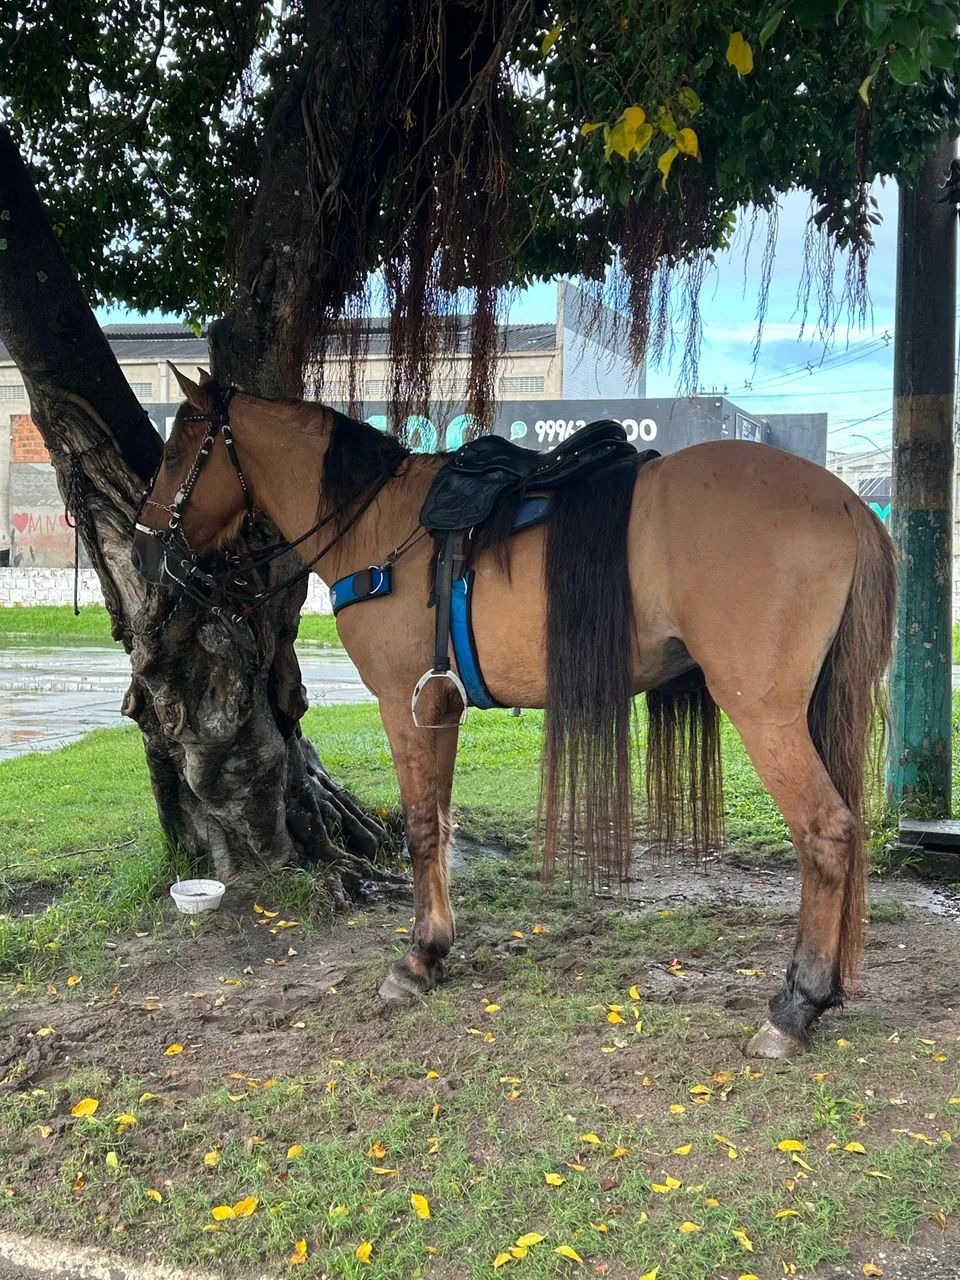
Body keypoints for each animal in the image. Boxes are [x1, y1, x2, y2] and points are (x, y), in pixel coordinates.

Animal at [132, 368, 897, 1059]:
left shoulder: (403, 704)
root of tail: (843, 501)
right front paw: (438, 946)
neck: (381, 524)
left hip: (765, 714)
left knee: (826, 833)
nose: (142, 546)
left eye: (174, 453)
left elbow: (419, 827)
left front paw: (419, 958)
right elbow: (439, 825)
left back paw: (797, 1006)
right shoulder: (440, 707)